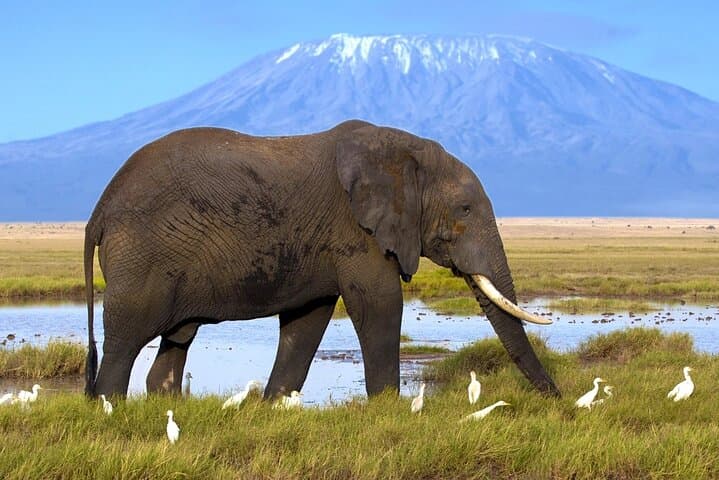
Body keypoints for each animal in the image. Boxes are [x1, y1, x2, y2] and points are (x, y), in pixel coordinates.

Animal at [84, 119, 560, 399]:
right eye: (464, 209)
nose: (557, 403)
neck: (404, 149)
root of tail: (99, 210)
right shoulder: (356, 230)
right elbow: (379, 304)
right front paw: (387, 409)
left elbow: (306, 320)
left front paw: (273, 406)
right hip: (141, 255)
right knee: (125, 341)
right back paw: (111, 407)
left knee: (177, 340)